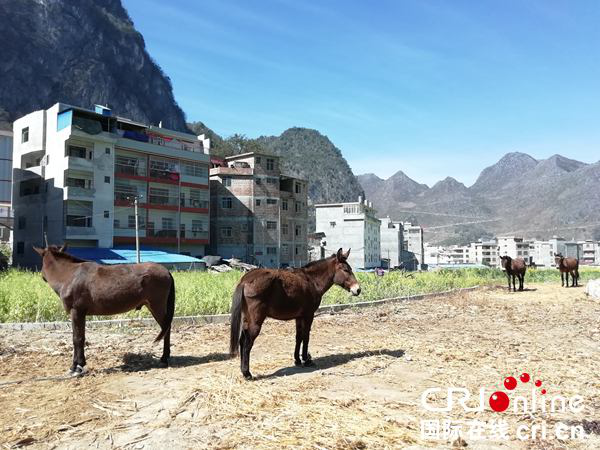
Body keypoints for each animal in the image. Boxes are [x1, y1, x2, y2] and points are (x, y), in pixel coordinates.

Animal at [34, 244, 176, 374]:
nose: (42, 277)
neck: (70, 275)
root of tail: (166, 271)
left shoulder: (76, 312)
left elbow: (77, 339)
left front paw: (76, 367)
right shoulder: (81, 314)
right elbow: (80, 337)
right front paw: (80, 364)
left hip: (157, 306)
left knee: (166, 328)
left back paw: (164, 358)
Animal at [230, 248, 360, 378]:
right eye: (346, 270)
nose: (358, 289)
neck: (312, 280)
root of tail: (244, 281)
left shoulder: (299, 317)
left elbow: (298, 337)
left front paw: (297, 359)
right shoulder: (308, 315)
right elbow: (306, 337)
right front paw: (306, 360)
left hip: (247, 319)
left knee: (242, 341)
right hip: (255, 323)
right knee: (247, 344)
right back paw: (247, 373)